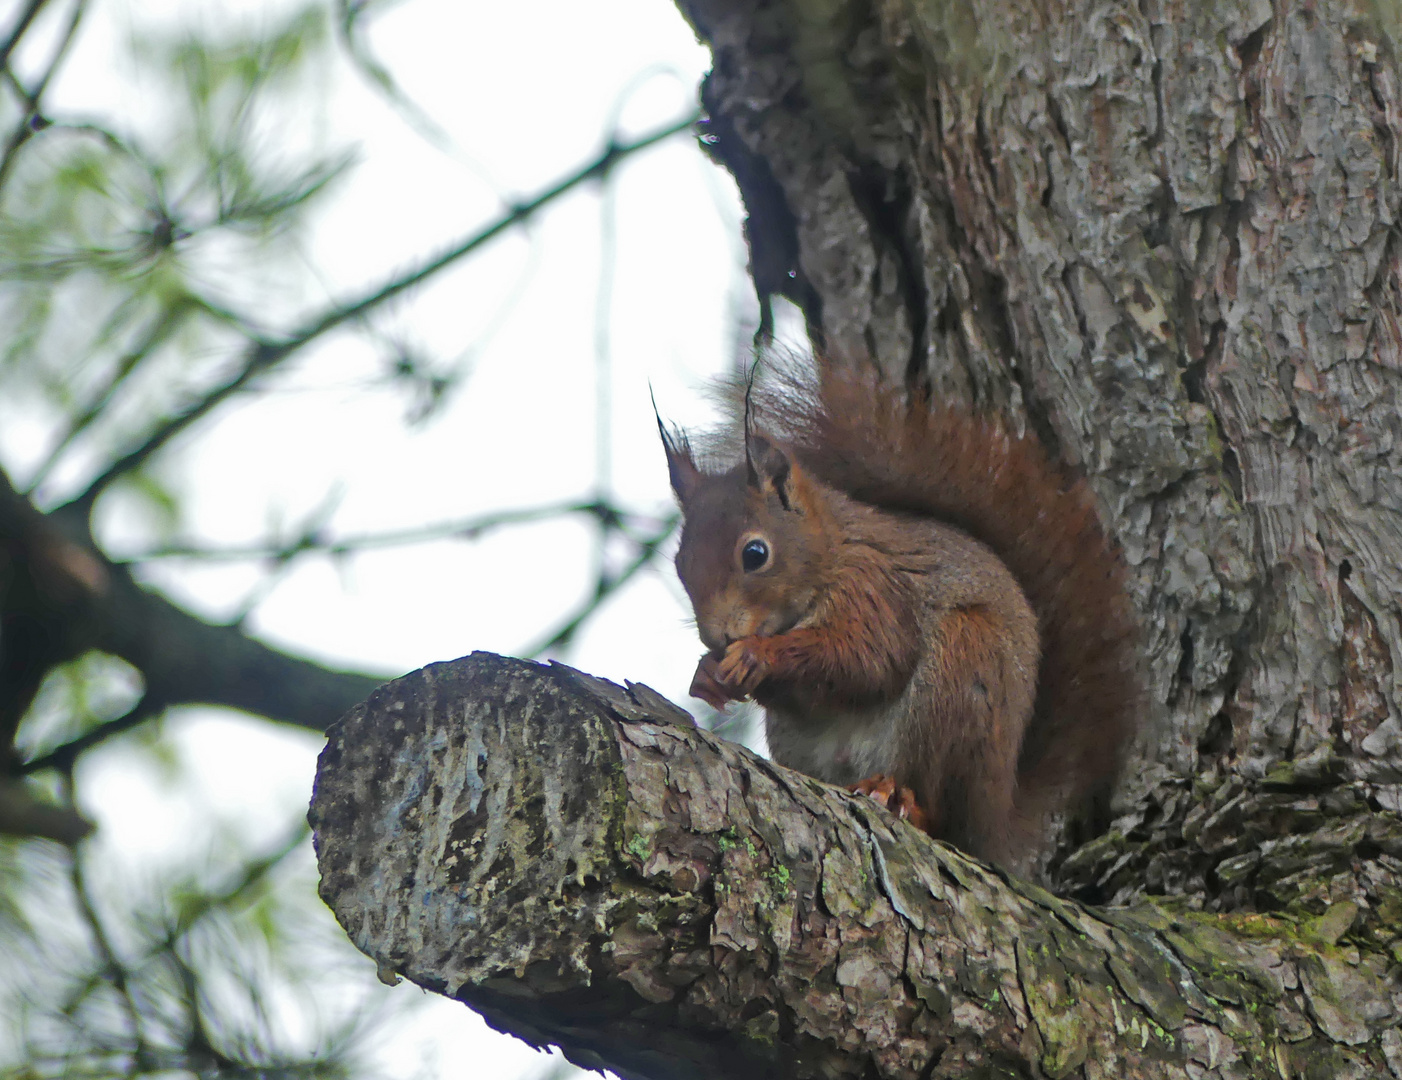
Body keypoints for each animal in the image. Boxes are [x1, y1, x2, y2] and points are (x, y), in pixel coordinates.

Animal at [658, 361, 1138, 864]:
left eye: (755, 553)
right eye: (680, 564)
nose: (717, 638)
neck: (831, 552)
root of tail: (996, 818)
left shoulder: (874, 590)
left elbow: (867, 659)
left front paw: (756, 654)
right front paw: (707, 675)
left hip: (963, 669)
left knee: (941, 812)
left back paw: (900, 798)